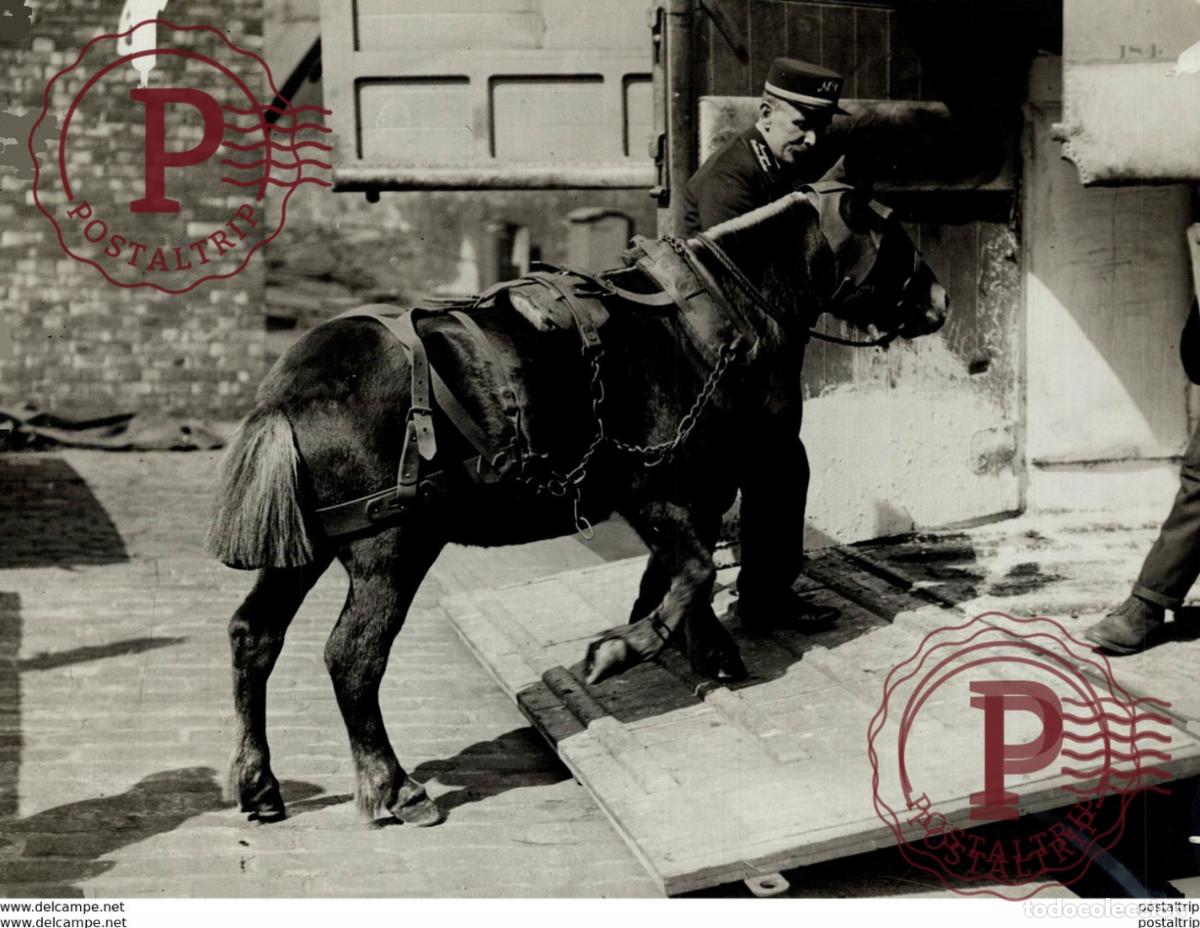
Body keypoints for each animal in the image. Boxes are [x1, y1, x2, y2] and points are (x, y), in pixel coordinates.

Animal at [206, 183, 948, 827]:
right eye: (897, 239)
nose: (940, 299)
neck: (708, 317)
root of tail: (288, 394)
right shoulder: (659, 487)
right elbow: (696, 570)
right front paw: (623, 648)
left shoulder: (695, 491)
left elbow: (680, 572)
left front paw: (692, 640)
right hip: (391, 549)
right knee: (352, 657)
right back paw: (391, 785)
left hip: (306, 549)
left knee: (254, 636)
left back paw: (258, 781)